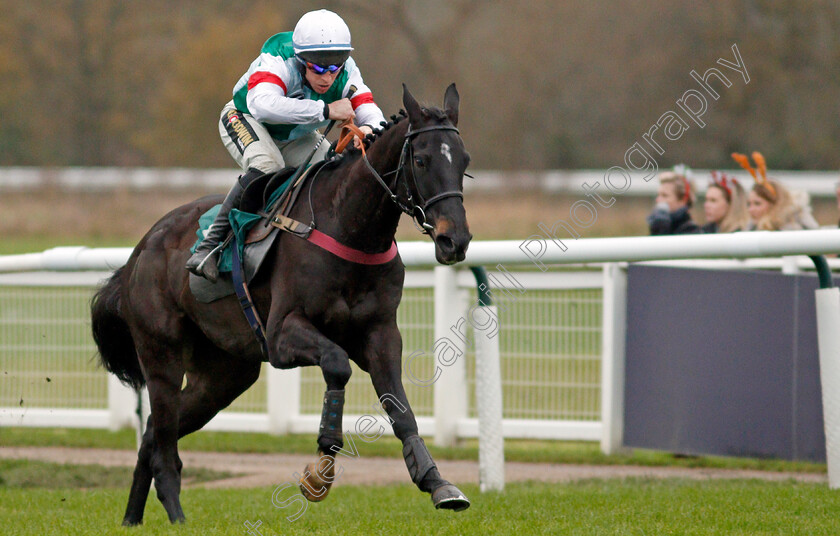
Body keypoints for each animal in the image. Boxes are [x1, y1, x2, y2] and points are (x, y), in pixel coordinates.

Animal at [93, 84, 472, 524]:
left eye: (464, 161)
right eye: (421, 159)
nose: (455, 240)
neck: (348, 227)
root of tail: (139, 252)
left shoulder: (381, 334)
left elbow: (401, 408)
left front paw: (437, 483)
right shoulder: (282, 336)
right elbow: (337, 364)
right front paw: (321, 466)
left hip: (224, 376)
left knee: (153, 432)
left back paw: (131, 519)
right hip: (161, 356)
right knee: (164, 442)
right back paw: (178, 518)